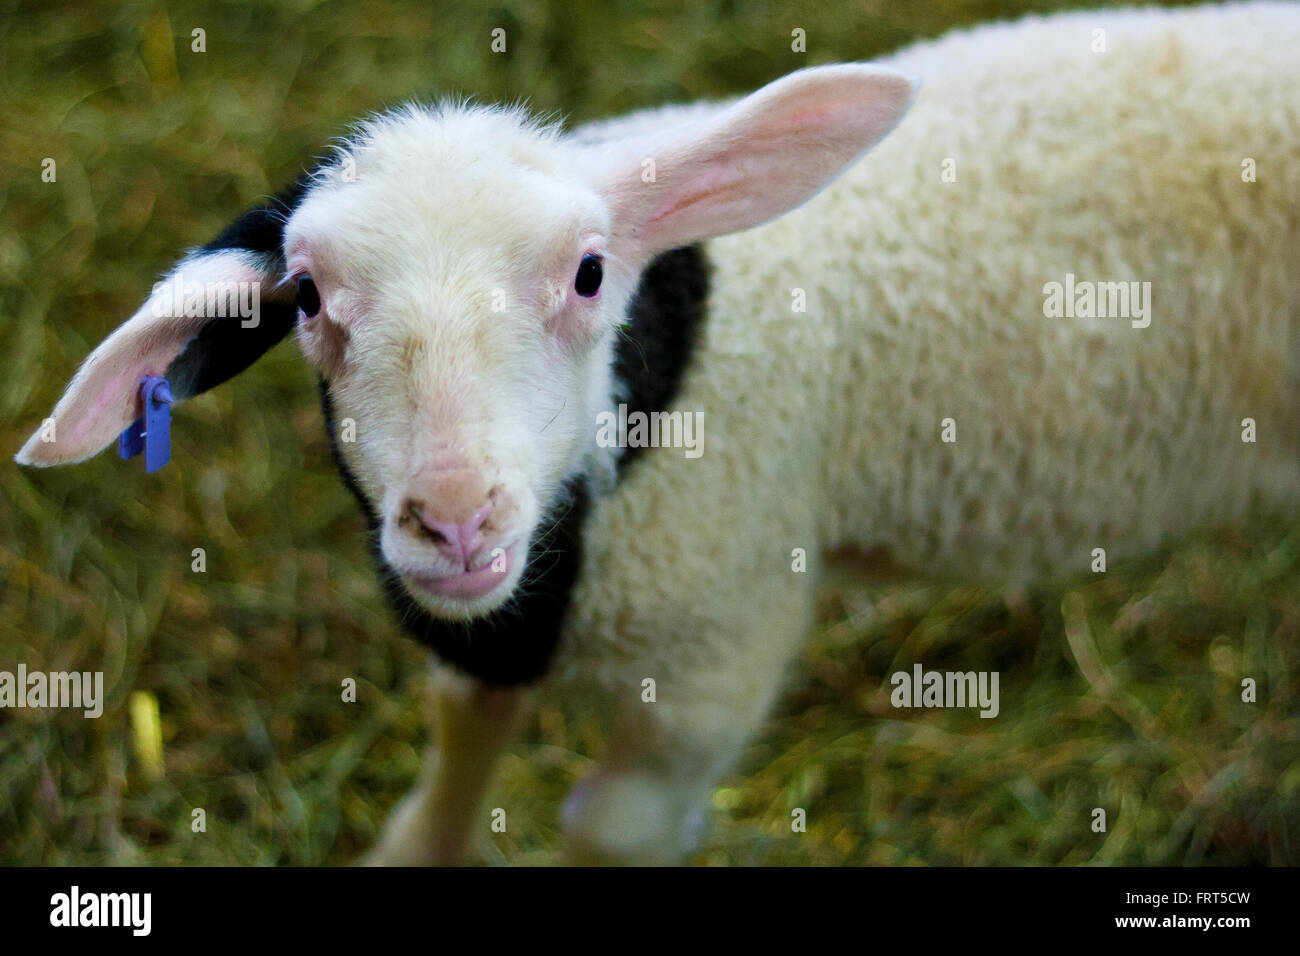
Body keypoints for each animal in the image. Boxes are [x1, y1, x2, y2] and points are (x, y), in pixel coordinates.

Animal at [12, 1, 1300, 868]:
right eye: (310, 297)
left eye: (590, 272)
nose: (455, 516)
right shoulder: (486, 632)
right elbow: (457, 737)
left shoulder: (715, 652)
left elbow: (606, 827)